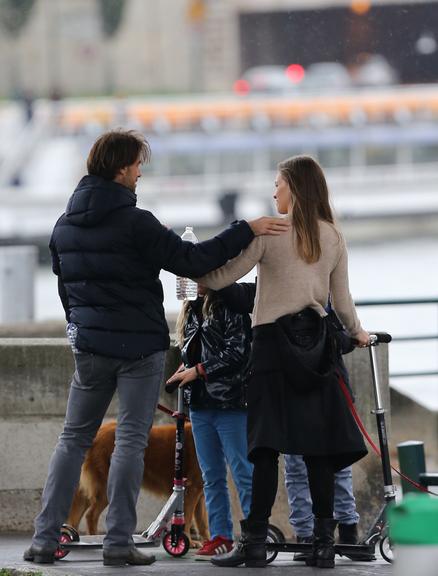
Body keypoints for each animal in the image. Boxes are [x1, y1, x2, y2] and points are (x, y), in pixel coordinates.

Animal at [66, 418, 209, 544]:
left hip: (89, 490)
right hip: (105, 488)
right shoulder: (191, 490)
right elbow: (188, 519)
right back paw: (94, 538)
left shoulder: (200, 494)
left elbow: (203, 523)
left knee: (76, 517)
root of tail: (98, 432)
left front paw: (210, 544)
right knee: (91, 515)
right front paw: (188, 541)